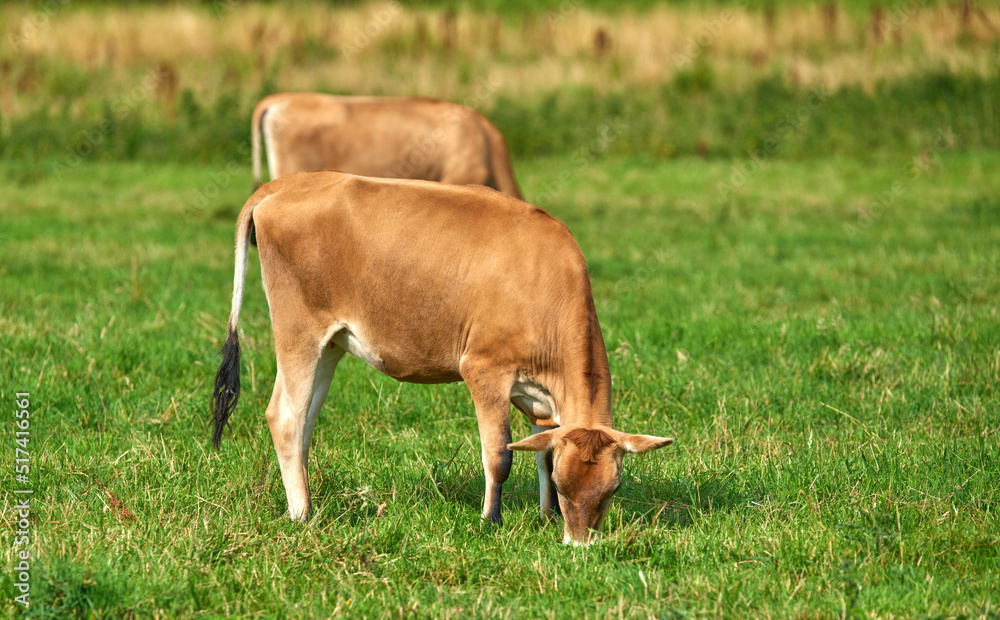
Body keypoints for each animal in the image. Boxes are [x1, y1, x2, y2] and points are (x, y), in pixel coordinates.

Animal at [215, 172, 676, 544]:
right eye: (565, 488)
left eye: (612, 489)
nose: (580, 544)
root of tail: (286, 183)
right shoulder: (485, 370)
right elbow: (500, 455)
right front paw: (491, 520)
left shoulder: (540, 398)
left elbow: (541, 451)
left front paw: (546, 518)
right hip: (298, 330)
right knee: (285, 416)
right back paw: (301, 515)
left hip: (329, 344)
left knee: (305, 420)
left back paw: (308, 501)